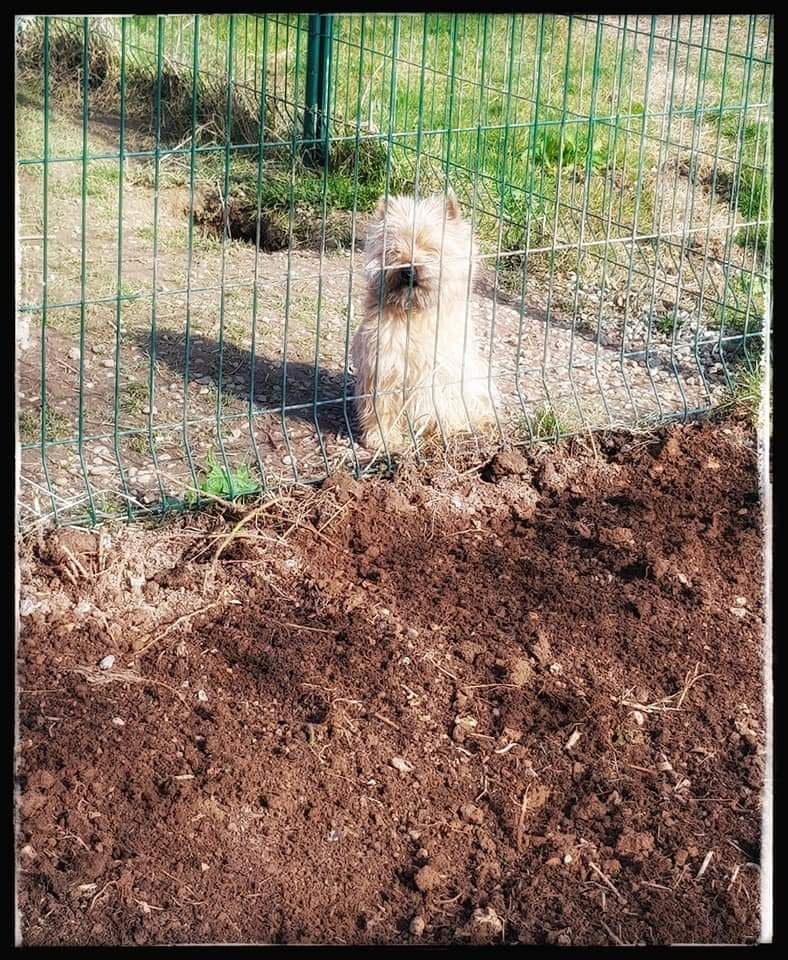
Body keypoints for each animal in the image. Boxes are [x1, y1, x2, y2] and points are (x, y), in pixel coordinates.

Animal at [350, 191, 496, 454]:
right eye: (394, 249)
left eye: (431, 248)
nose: (408, 269)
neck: (413, 312)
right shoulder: (384, 367)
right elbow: (382, 409)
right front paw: (381, 439)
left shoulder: (441, 373)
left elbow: (438, 404)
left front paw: (440, 432)